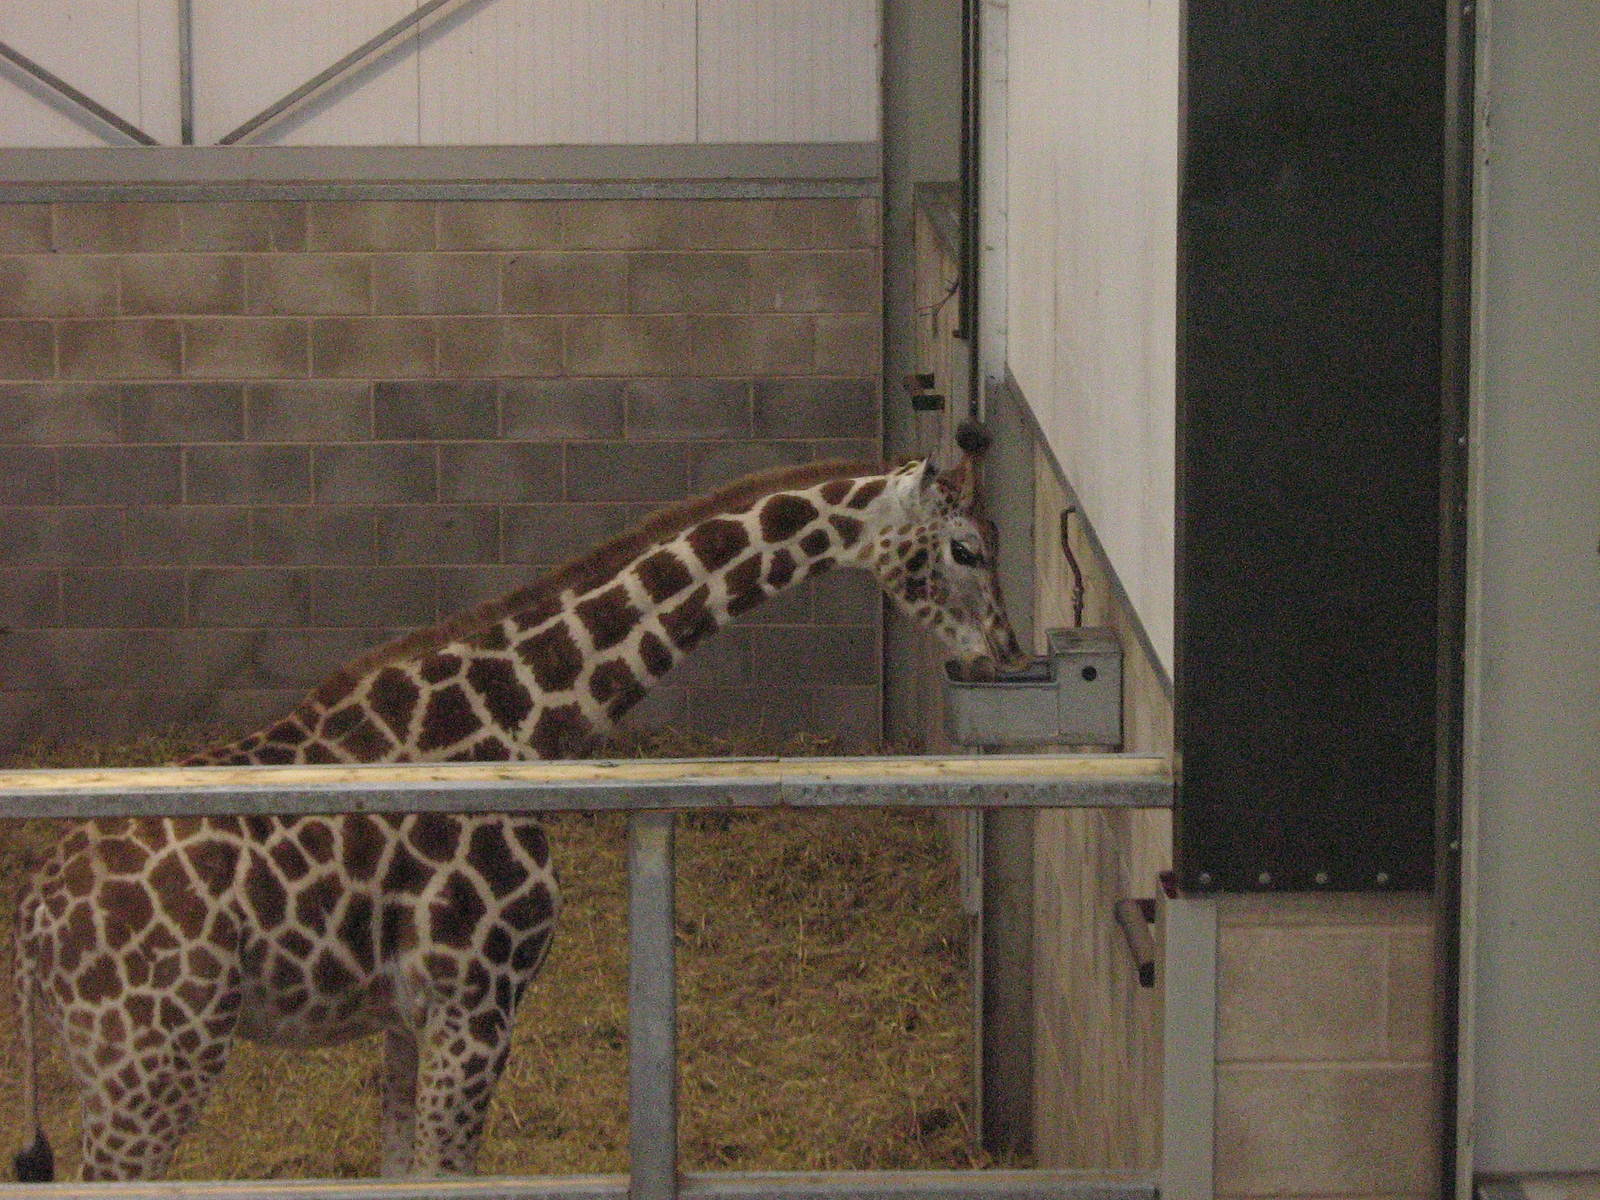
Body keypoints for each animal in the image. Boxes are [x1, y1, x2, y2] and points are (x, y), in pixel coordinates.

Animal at [10, 450, 1025, 1182]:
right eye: (967, 550)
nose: (1004, 652)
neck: (521, 718)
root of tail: (32, 921)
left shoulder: (410, 1015)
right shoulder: (479, 997)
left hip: (114, 1066)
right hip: (152, 1062)